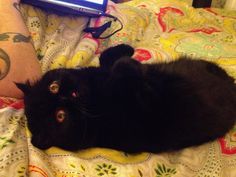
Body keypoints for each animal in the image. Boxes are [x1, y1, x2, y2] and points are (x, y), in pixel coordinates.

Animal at [16, 44, 236, 153]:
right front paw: (132, 64)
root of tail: (232, 87)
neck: (95, 94)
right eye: (60, 116)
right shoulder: (146, 104)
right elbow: (123, 67)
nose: (66, 96)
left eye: (53, 87)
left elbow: (108, 57)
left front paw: (126, 49)